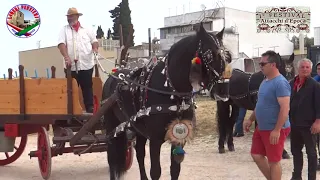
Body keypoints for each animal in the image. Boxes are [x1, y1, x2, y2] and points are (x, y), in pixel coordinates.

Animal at [101, 22, 229, 180]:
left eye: (227, 56)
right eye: (209, 54)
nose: (223, 90)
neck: (171, 91)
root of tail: (114, 76)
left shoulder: (179, 136)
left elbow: (175, 169)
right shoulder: (155, 140)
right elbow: (156, 172)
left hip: (137, 128)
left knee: (139, 154)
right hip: (111, 126)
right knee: (112, 157)